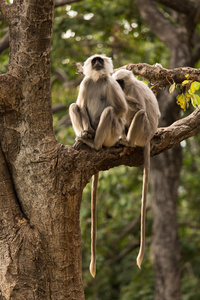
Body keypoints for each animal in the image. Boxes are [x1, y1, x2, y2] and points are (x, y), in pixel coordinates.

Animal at [69, 54, 127, 276]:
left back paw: (93, 144)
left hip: (111, 134)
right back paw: (84, 137)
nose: (97, 64)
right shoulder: (86, 83)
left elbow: (121, 109)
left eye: (100, 60)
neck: (97, 79)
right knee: (74, 106)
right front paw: (86, 130)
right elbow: (81, 106)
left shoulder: (110, 82)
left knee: (110, 111)